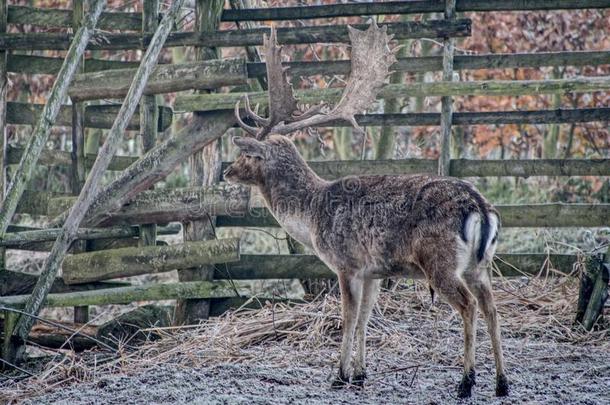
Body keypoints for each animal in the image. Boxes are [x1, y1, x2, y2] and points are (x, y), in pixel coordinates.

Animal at [223, 20, 508, 396]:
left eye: (247, 155)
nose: (226, 170)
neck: (312, 215)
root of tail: (479, 208)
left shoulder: (347, 264)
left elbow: (347, 317)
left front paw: (339, 375)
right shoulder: (375, 271)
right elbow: (366, 317)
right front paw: (360, 374)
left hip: (440, 262)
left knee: (469, 305)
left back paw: (466, 381)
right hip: (481, 264)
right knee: (492, 307)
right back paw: (502, 383)